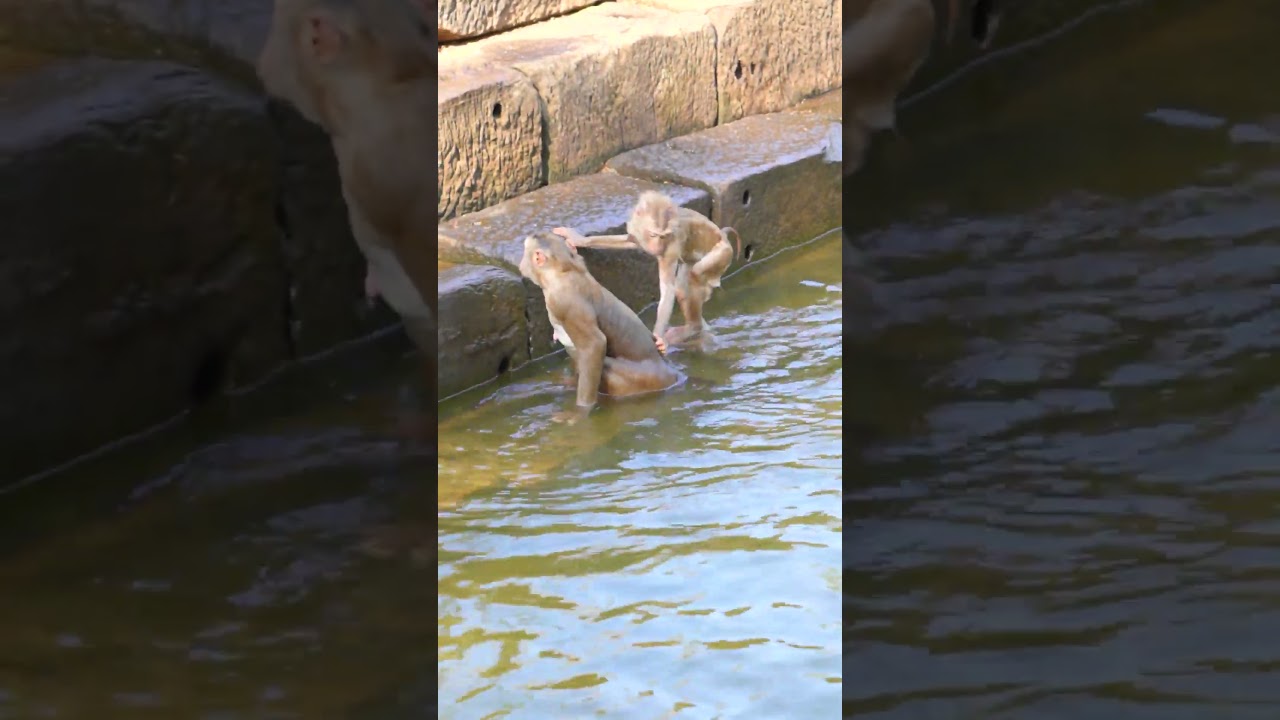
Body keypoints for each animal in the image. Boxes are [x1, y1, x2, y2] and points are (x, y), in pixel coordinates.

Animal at [518, 232, 679, 421]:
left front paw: (580, 411)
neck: (565, 269)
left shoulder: (565, 302)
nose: (532, 233)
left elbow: (595, 345)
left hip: (640, 379)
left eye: (536, 237)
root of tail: (670, 373)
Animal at [553, 192, 741, 348]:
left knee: (692, 278)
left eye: (663, 236)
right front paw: (579, 239)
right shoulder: (639, 234)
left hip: (722, 254)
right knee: (683, 284)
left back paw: (693, 328)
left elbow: (668, 289)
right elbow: (629, 241)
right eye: (653, 235)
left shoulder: (671, 246)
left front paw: (658, 337)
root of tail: (723, 236)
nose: (657, 247)